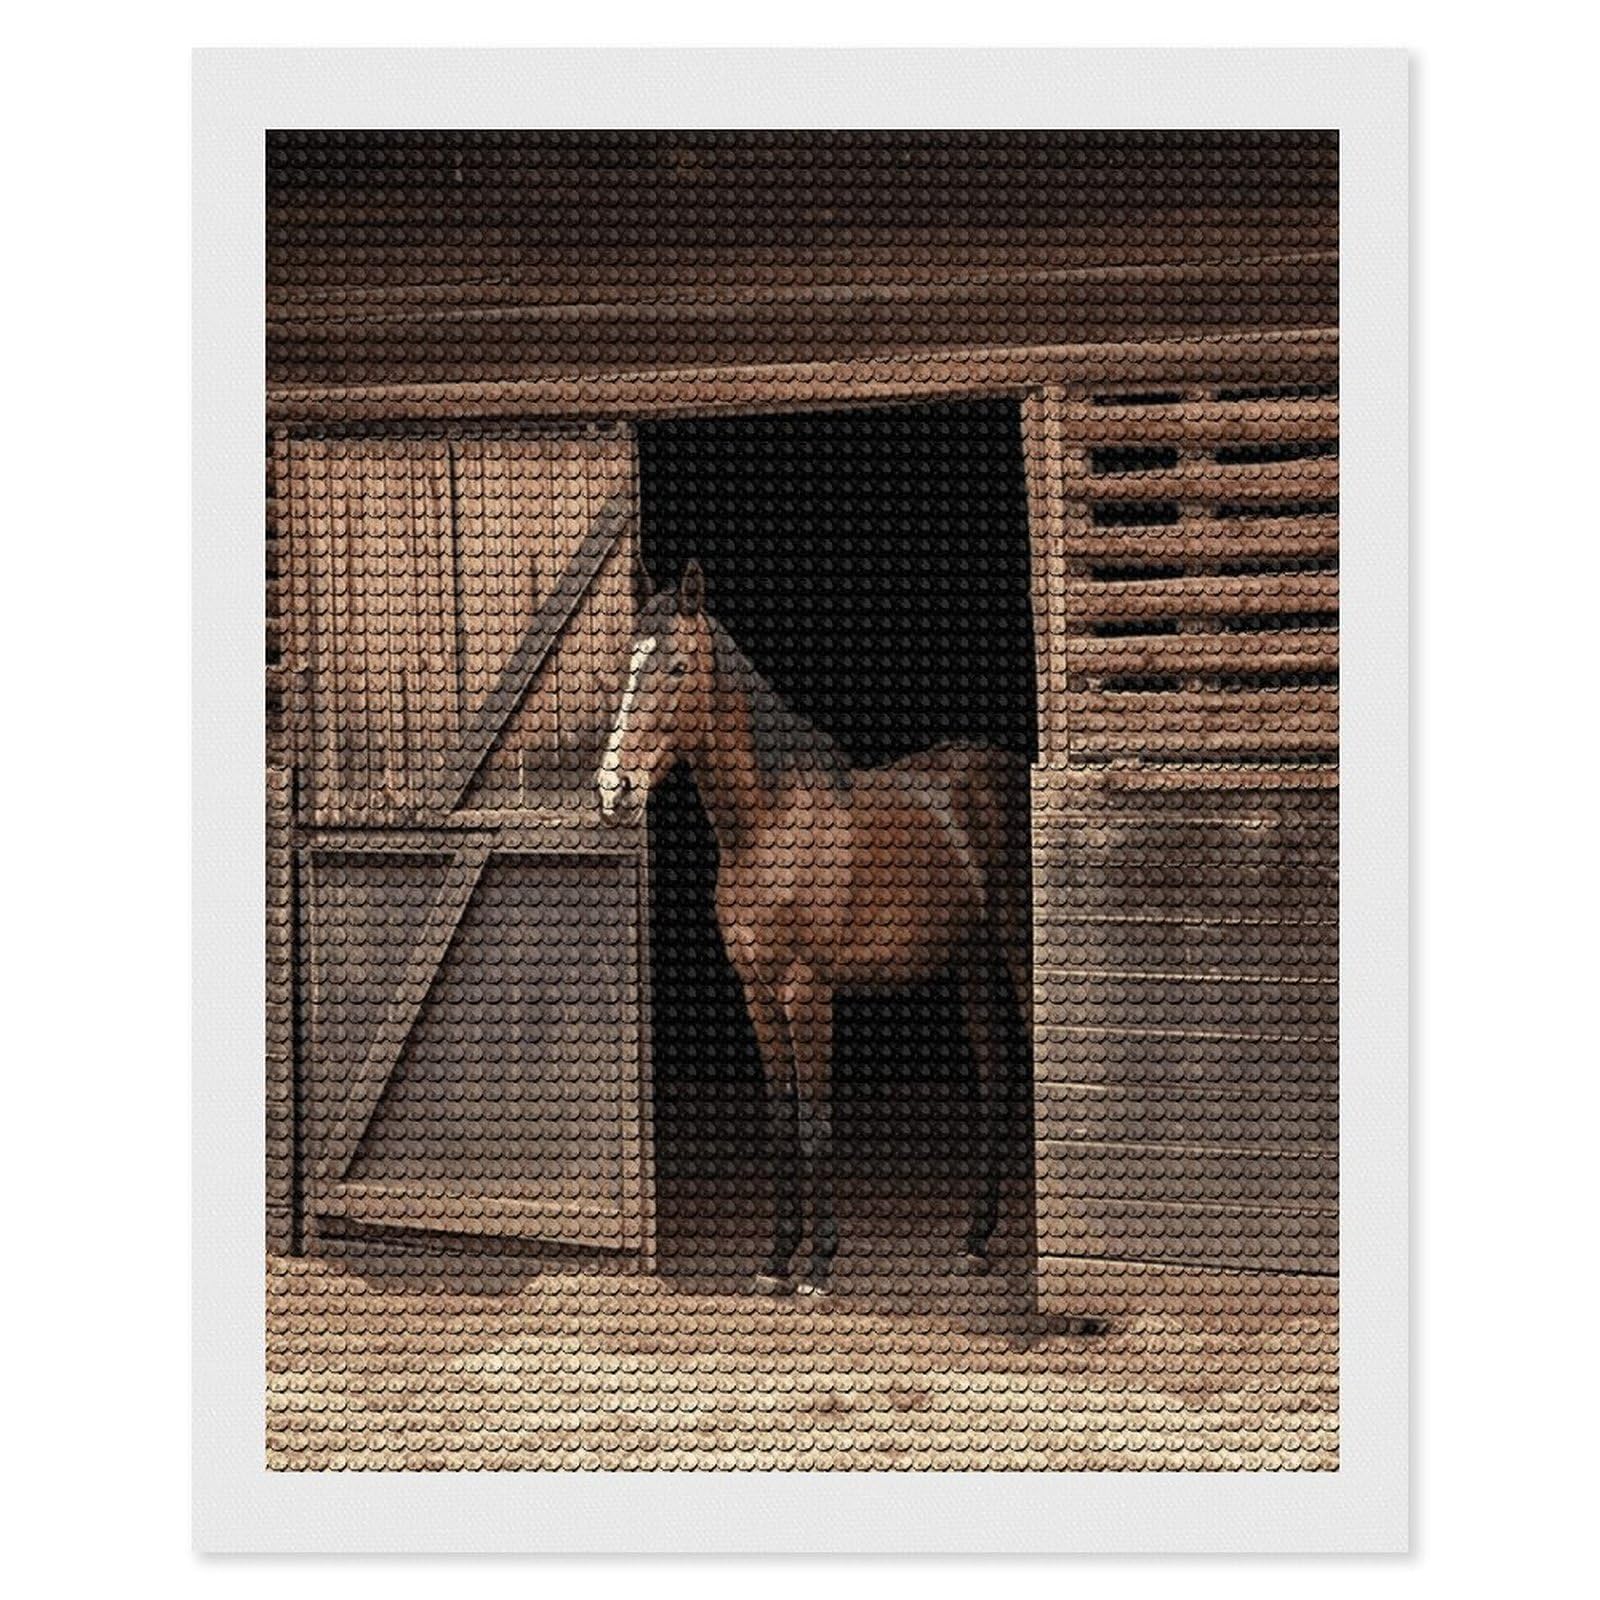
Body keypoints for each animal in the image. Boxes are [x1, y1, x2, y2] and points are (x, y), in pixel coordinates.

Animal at [598, 561, 1032, 1297]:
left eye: (677, 667)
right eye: (628, 662)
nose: (613, 787)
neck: (767, 827)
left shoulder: (808, 991)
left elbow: (815, 1117)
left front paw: (821, 1263)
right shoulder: (757, 993)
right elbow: (780, 1118)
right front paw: (776, 1259)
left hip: (1017, 955)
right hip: (970, 965)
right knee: (996, 1081)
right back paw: (975, 1239)